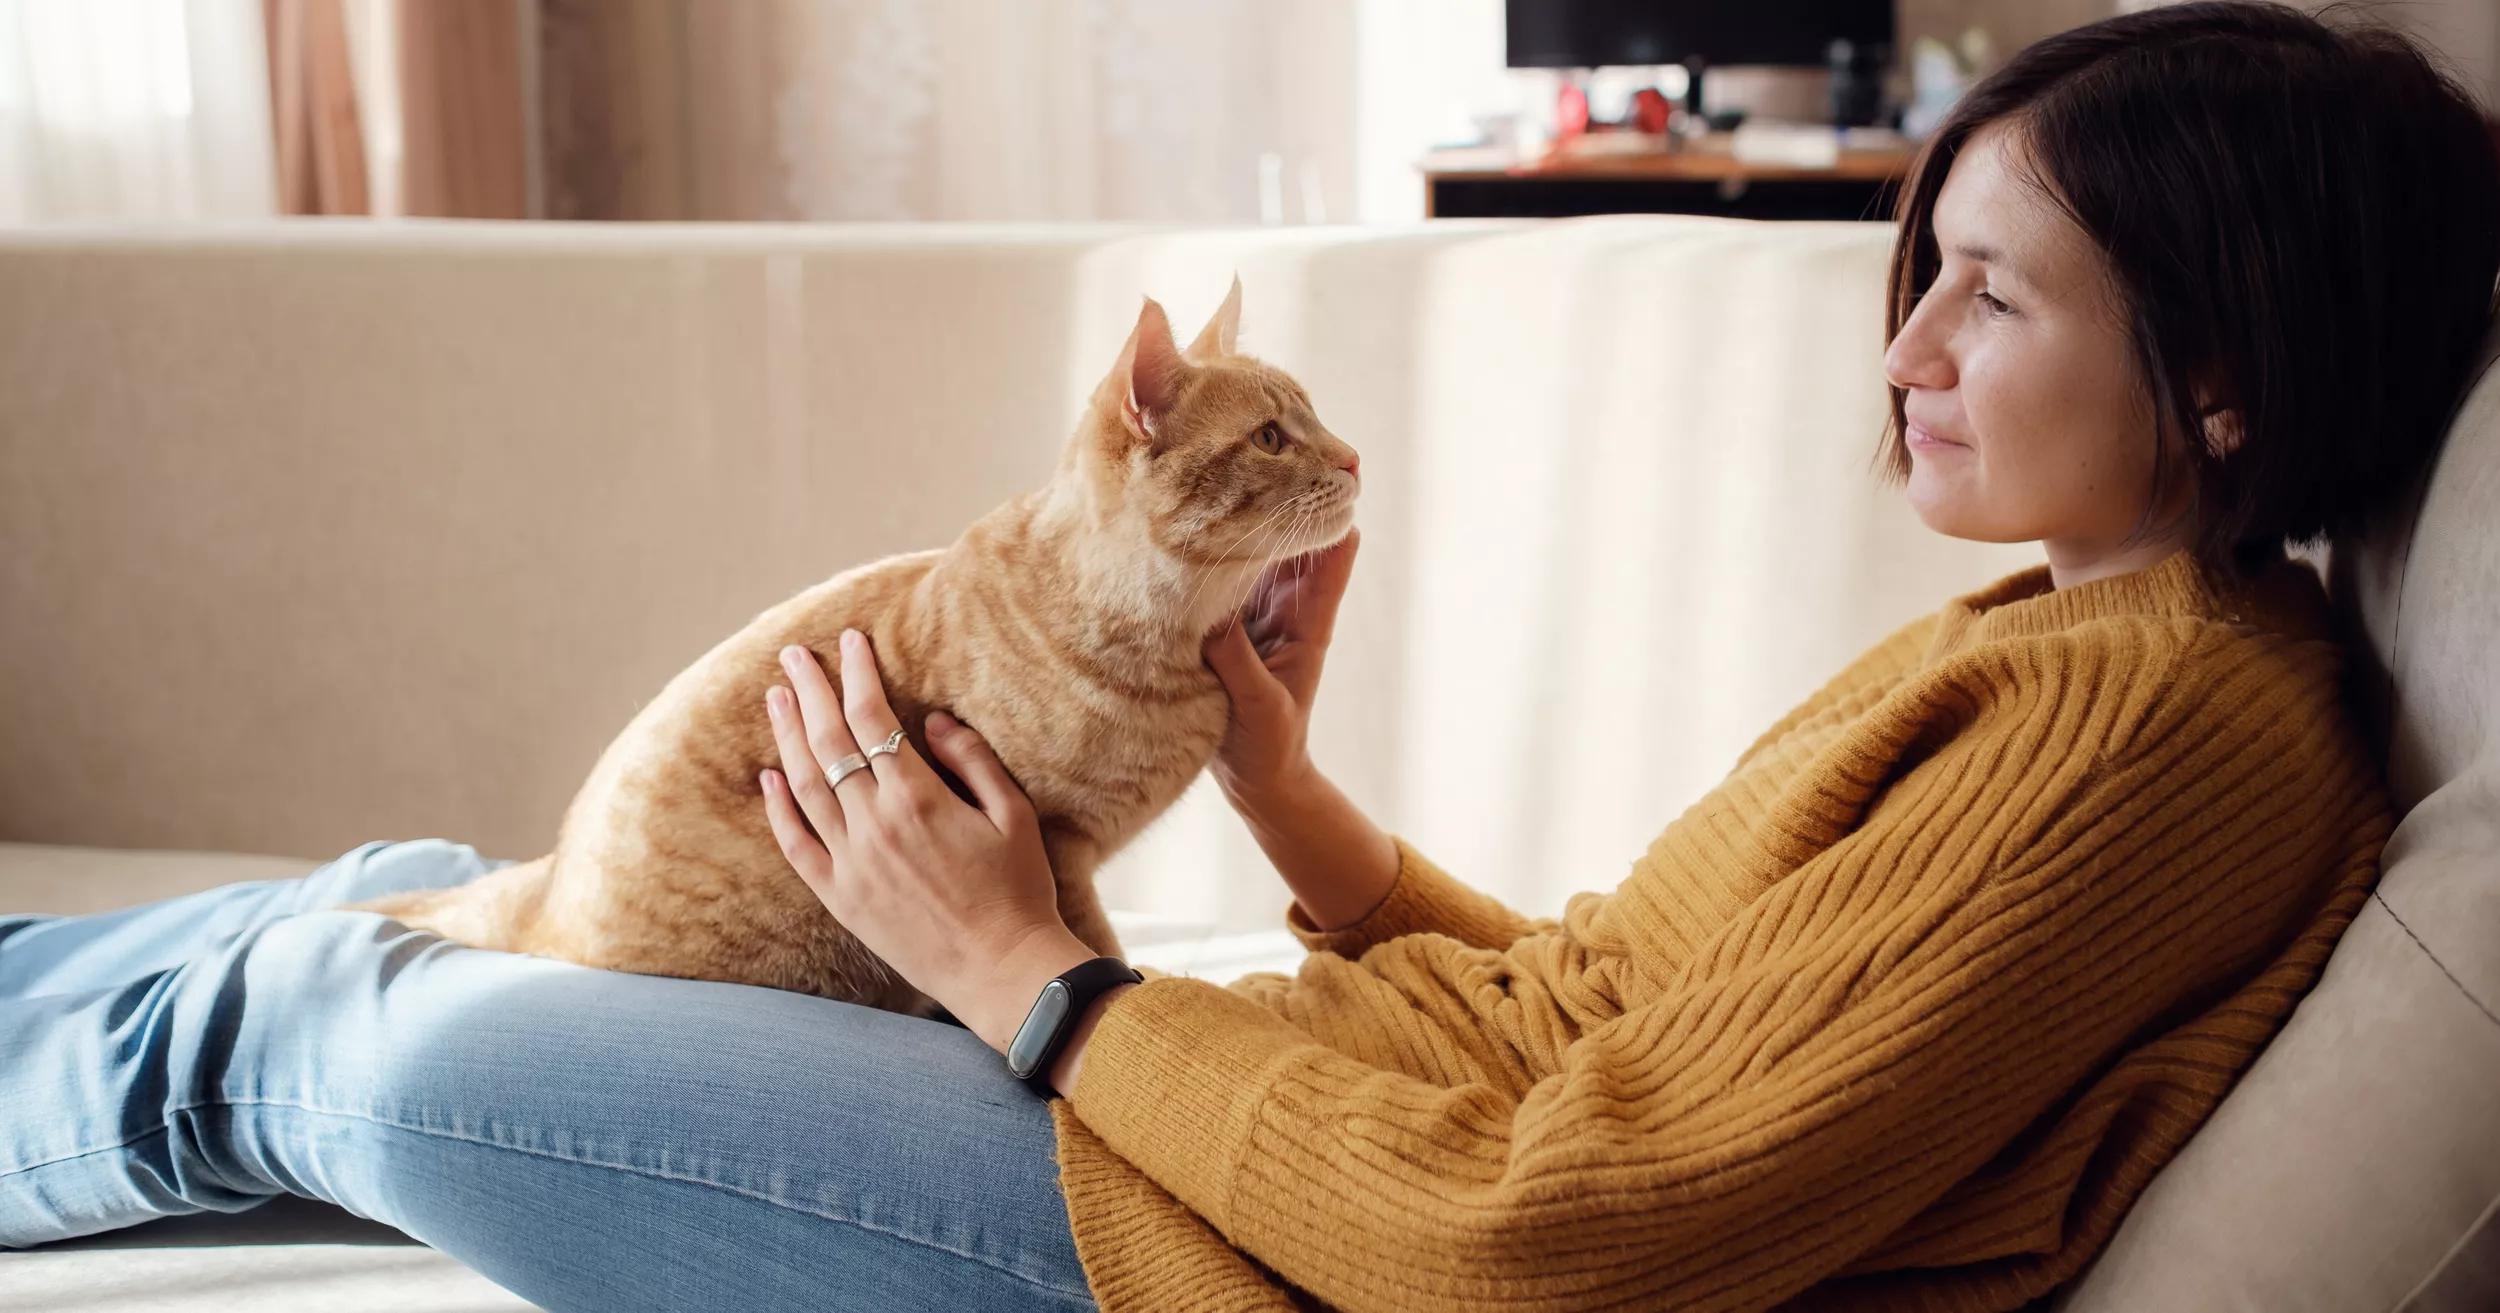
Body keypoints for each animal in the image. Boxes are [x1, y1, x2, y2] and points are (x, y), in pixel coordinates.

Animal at [357, 278, 1350, 1015]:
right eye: (1271, 437)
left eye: (1316, 418)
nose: (1355, 459)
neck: (1168, 648)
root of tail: (547, 893)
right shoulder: (1056, 845)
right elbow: (1094, 944)